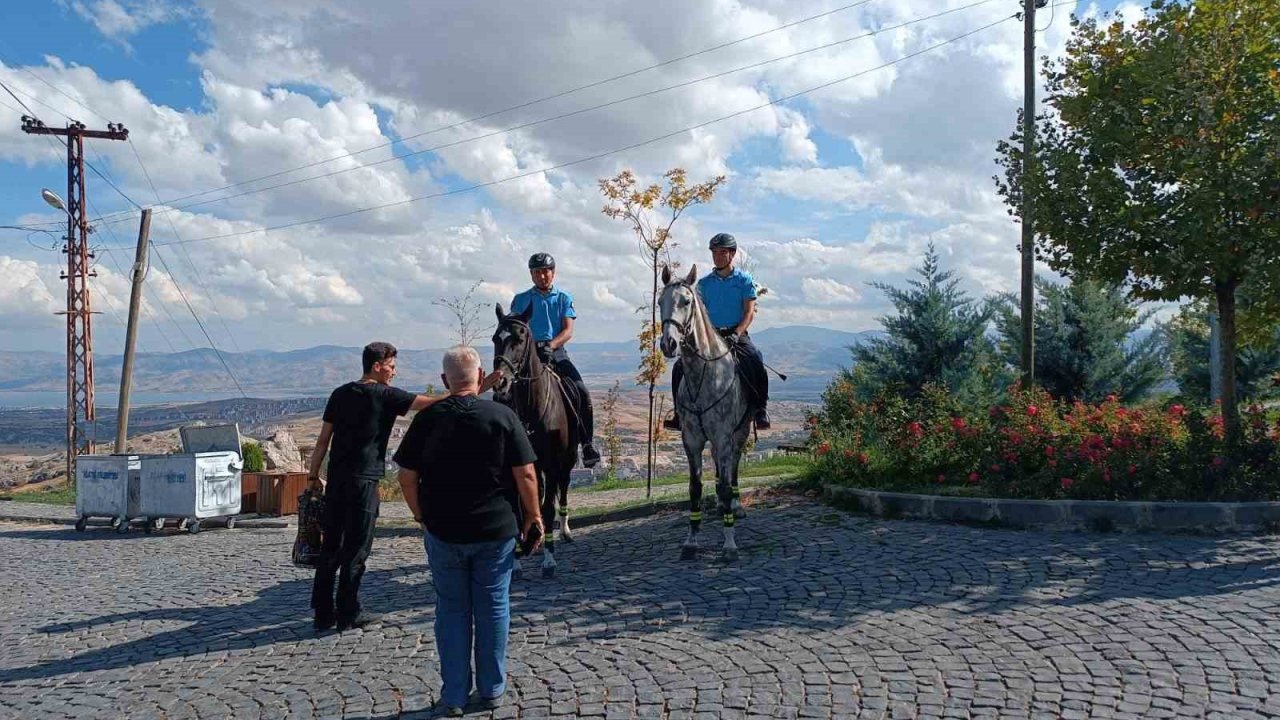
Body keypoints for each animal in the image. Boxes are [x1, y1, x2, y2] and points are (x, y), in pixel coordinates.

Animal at [488, 299, 581, 573]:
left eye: (520, 338)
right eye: (495, 338)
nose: (501, 384)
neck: (532, 407)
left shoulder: (551, 463)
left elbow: (548, 508)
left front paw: (549, 559)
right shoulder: (513, 466)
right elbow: (518, 508)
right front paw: (515, 561)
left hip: (567, 459)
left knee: (563, 488)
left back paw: (565, 532)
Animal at [660, 263, 747, 561]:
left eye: (687, 302)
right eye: (660, 302)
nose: (669, 344)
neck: (704, 373)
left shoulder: (723, 435)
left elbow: (725, 483)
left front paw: (730, 544)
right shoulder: (692, 440)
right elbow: (695, 487)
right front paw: (691, 540)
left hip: (739, 433)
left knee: (732, 468)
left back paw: (735, 506)